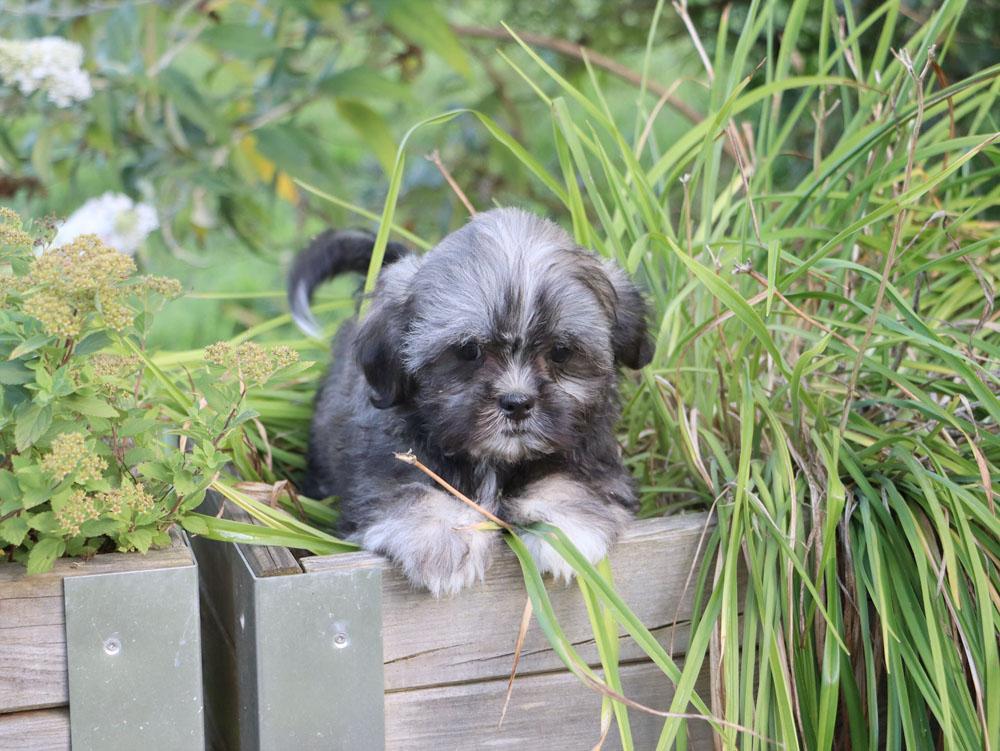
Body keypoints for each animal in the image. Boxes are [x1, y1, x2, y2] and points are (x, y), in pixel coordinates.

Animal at [288, 208, 653, 595]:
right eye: (468, 351)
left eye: (560, 351)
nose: (517, 403)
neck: (496, 459)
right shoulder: (385, 462)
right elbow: (411, 487)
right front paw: (443, 538)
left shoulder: (593, 452)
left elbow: (570, 482)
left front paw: (565, 533)